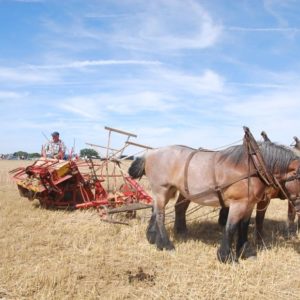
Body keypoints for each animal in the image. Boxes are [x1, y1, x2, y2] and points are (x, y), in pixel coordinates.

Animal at [130, 142, 300, 262]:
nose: (297, 206)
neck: (254, 167)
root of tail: (150, 152)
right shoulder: (238, 204)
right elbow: (231, 227)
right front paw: (226, 256)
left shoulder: (249, 204)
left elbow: (243, 226)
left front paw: (246, 252)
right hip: (161, 189)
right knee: (160, 215)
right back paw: (166, 245)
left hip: (169, 191)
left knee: (156, 211)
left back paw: (154, 240)